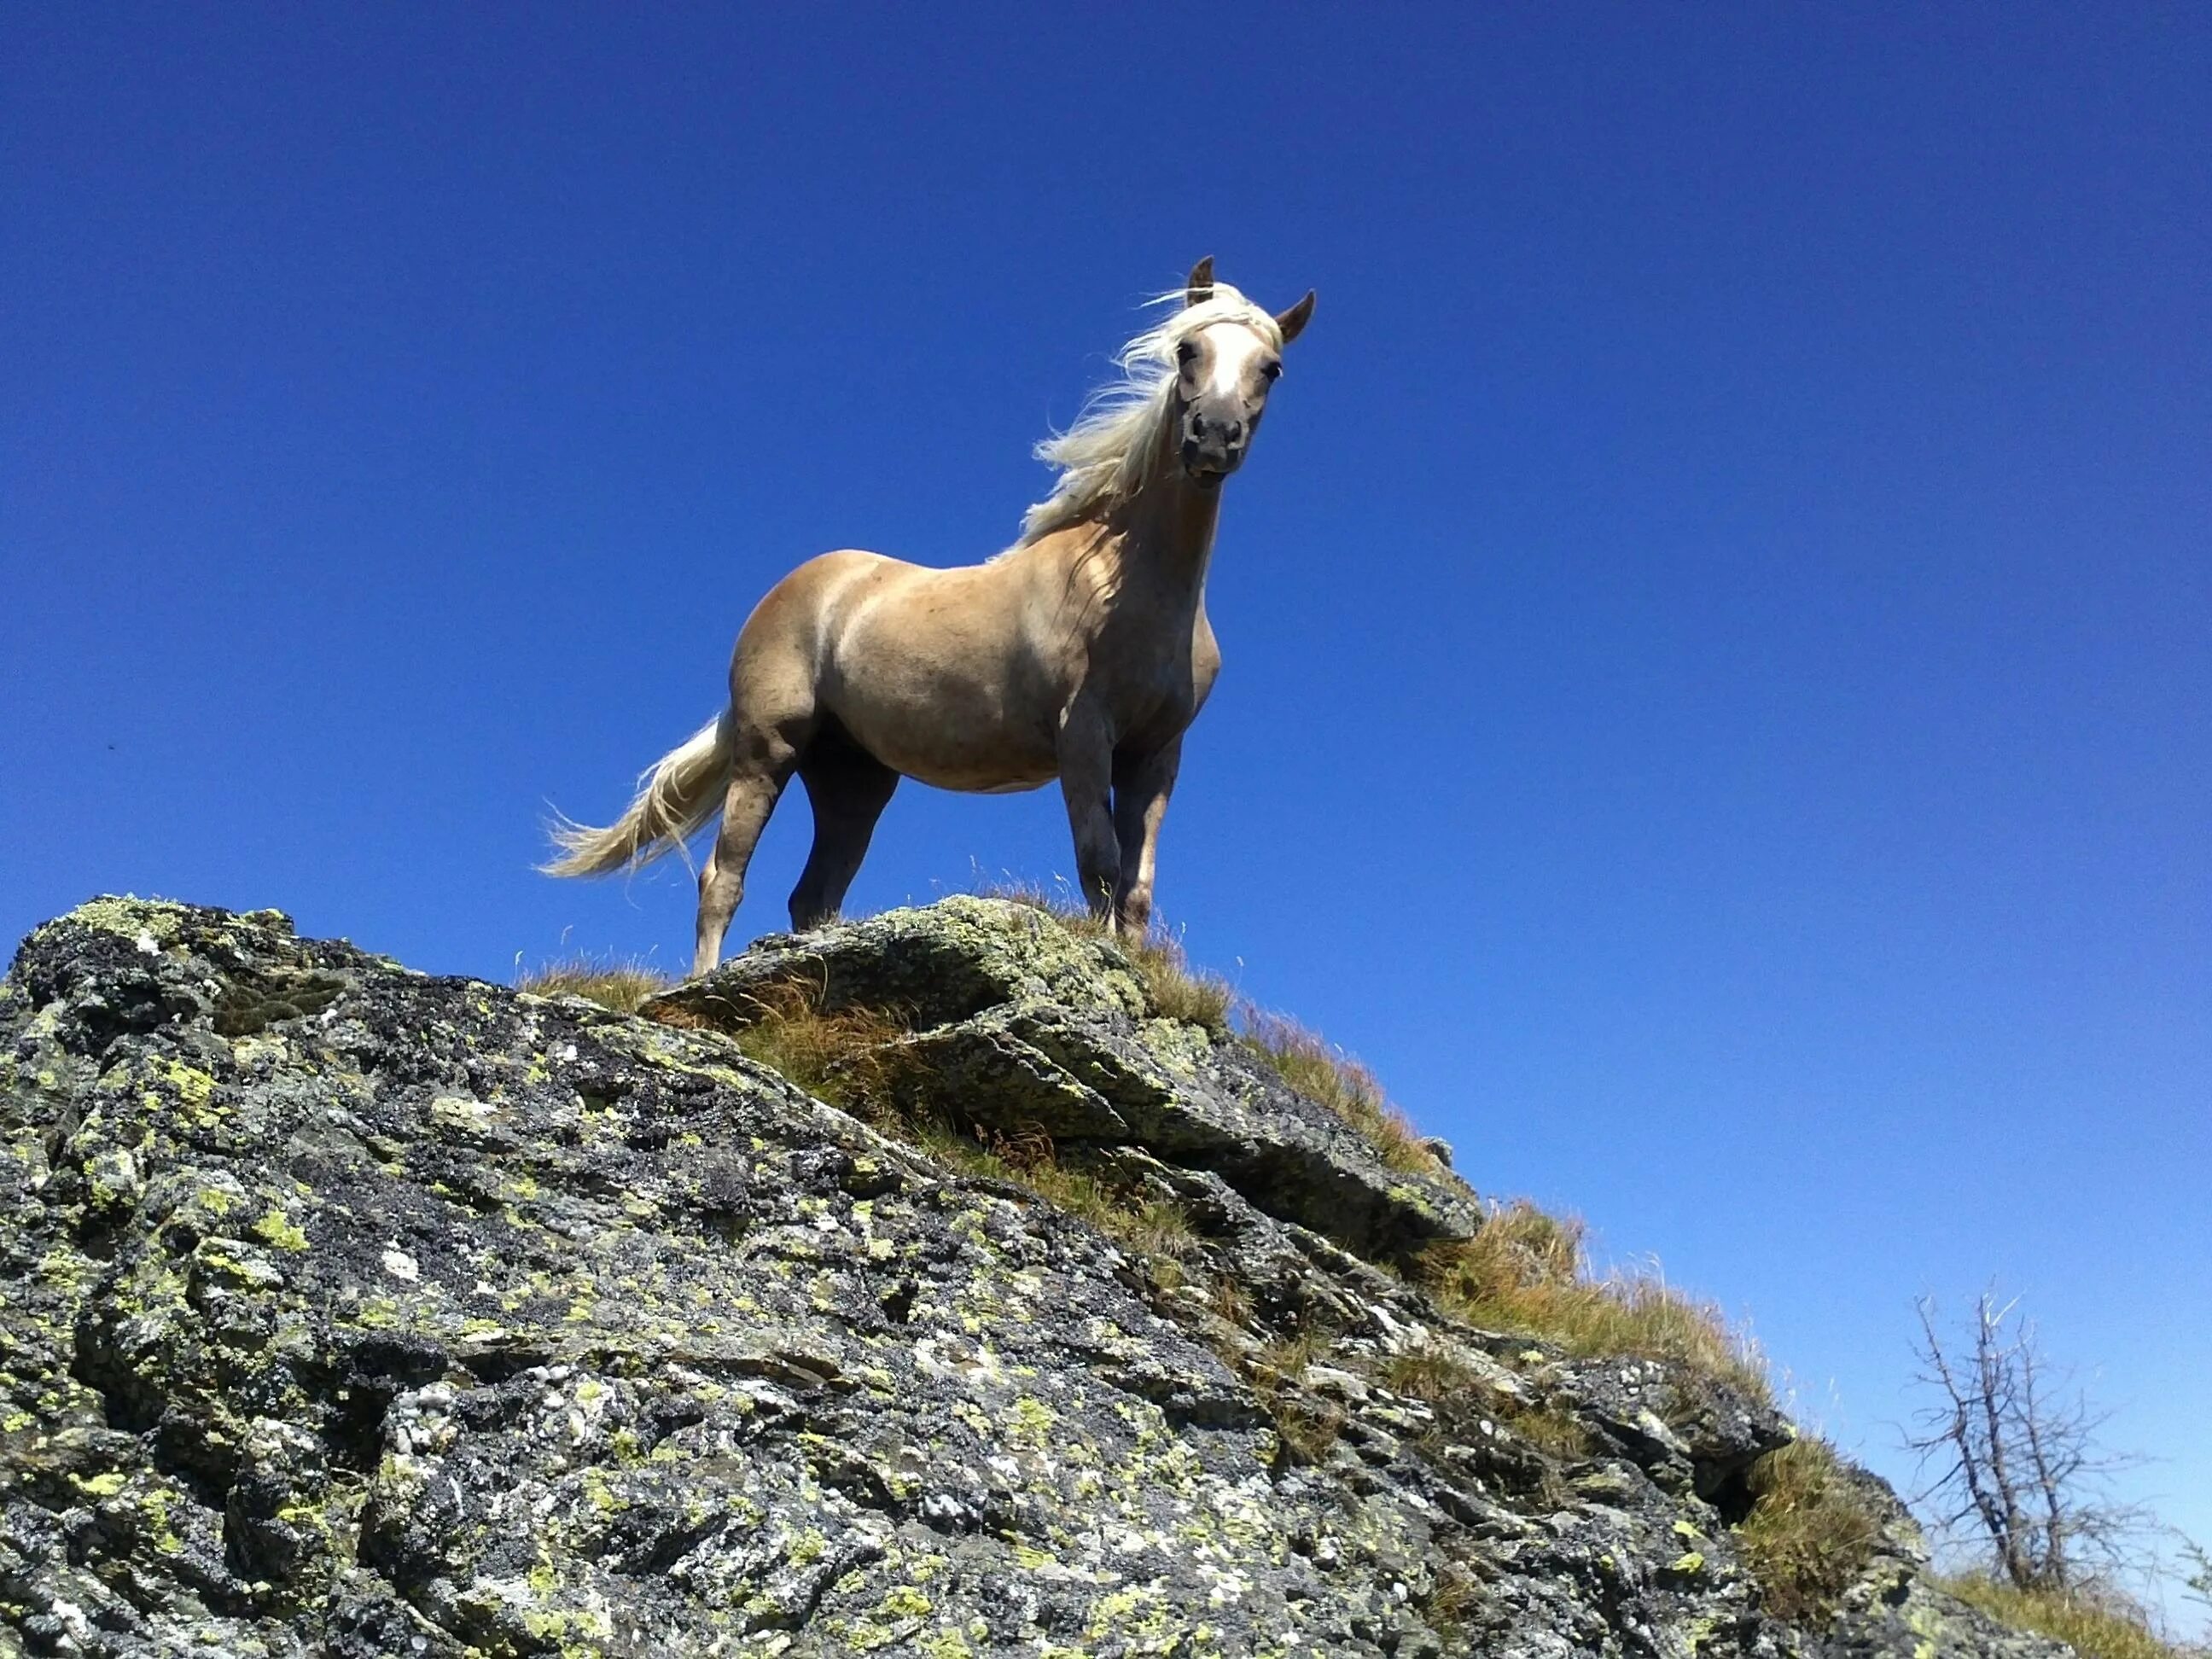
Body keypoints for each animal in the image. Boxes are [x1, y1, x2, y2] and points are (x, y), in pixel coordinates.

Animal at [546, 260, 1318, 981]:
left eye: (1271, 367)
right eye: (1188, 349)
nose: (1213, 439)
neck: (1126, 583)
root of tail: (796, 589)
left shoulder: (1156, 754)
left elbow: (1137, 885)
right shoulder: (1083, 737)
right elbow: (1098, 862)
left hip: (853, 779)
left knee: (814, 896)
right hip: (769, 751)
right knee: (723, 878)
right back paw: (699, 982)